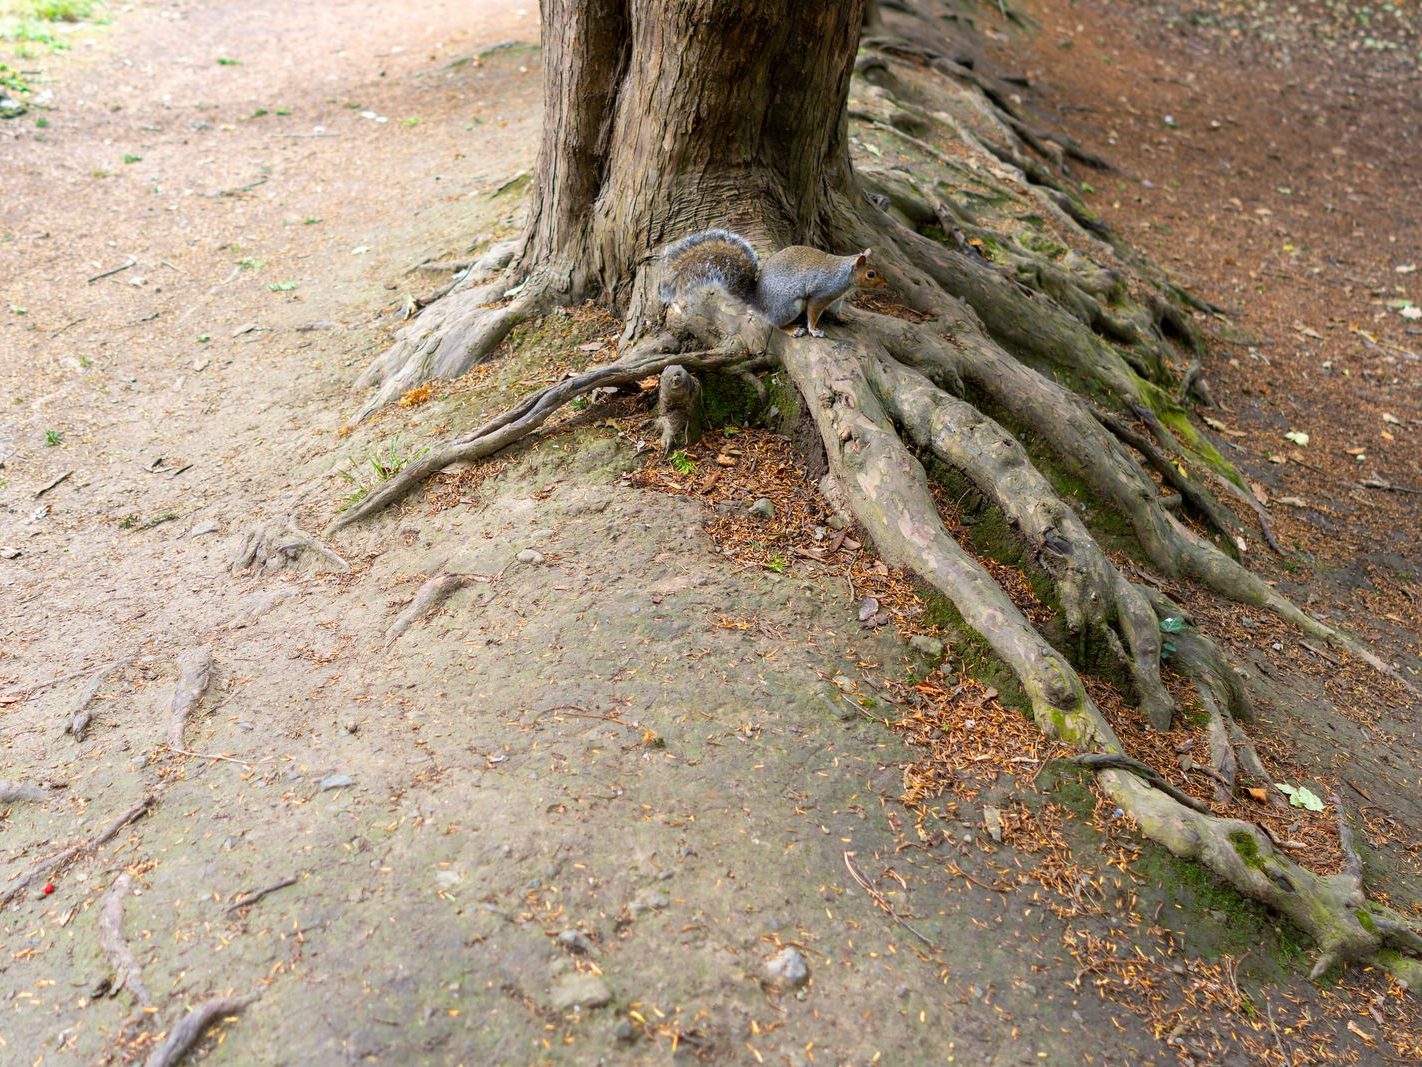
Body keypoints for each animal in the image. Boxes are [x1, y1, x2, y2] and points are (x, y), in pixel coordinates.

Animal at [656, 230, 881, 338]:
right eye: (871, 274)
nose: (884, 284)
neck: (844, 275)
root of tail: (757, 301)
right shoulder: (822, 293)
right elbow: (813, 313)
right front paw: (814, 330)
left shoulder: (835, 298)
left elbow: (836, 309)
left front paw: (843, 317)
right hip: (788, 307)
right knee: (775, 323)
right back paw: (792, 329)